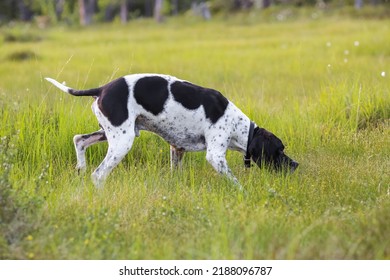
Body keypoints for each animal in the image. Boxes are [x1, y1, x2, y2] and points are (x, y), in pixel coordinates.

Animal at [45, 73, 298, 189]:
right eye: (279, 150)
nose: (295, 165)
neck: (238, 125)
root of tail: (102, 88)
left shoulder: (177, 149)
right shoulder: (215, 156)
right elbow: (235, 182)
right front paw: (243, 193)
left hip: (109, 133)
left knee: (79, 139)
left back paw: (80, 167)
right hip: (121, 142)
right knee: (98, 174)